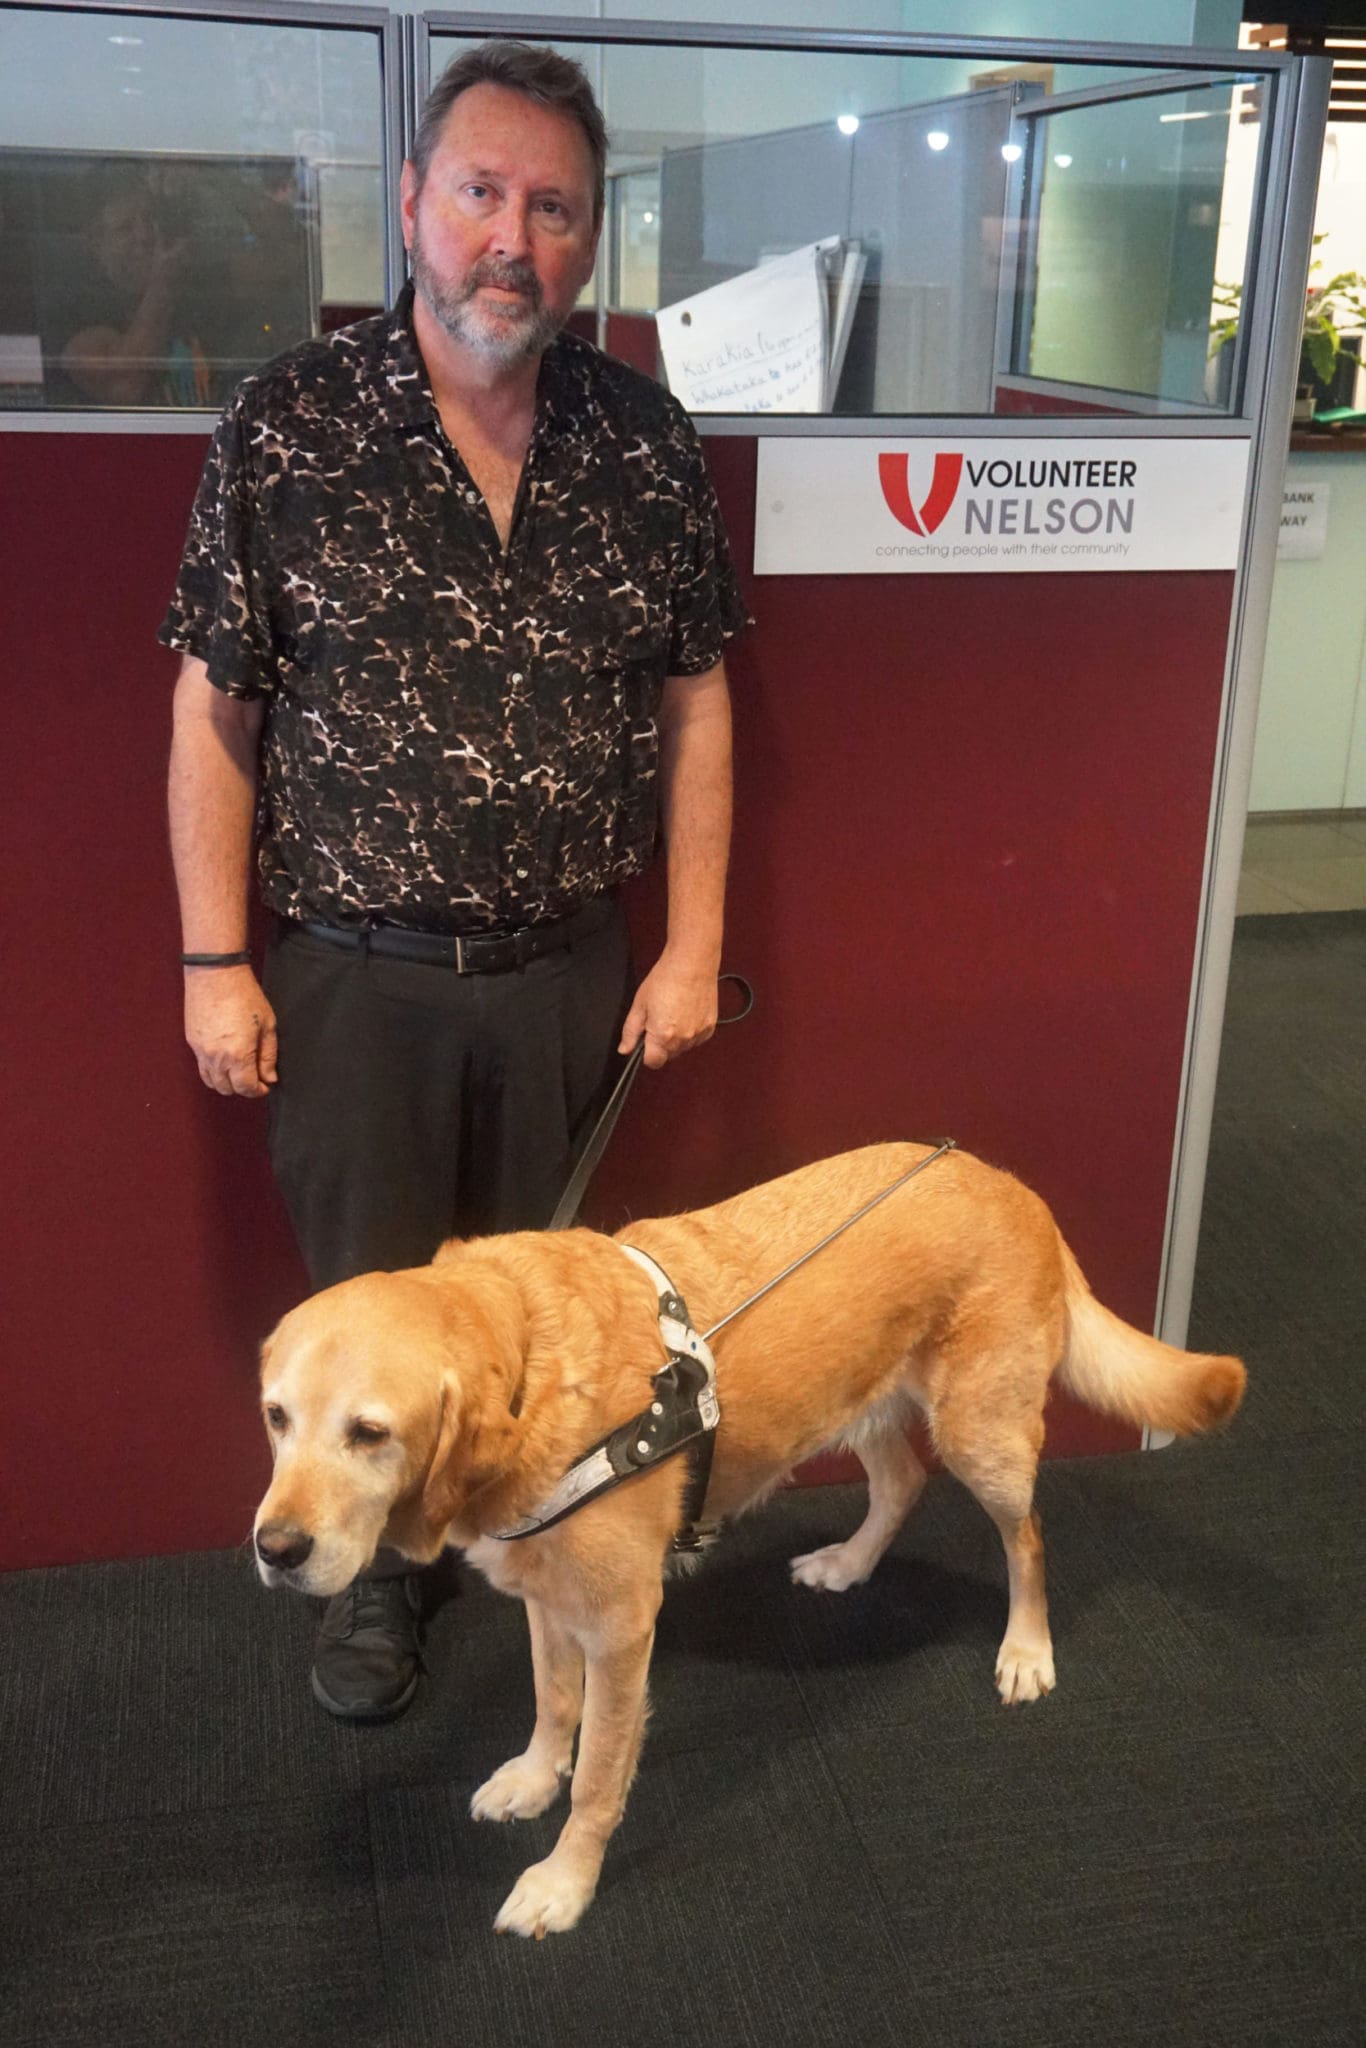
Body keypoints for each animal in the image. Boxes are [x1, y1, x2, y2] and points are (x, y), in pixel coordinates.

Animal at [253, 1143, 1244, 1938]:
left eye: (370, 1433)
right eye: (275, 1418)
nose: (276, 1548)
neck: (531, 1364)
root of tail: (1009, 1183)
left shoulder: (621, 1628)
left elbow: (599, 1776)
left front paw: (565, 1883)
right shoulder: (548, 1594)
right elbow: (552, 1704)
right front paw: (534, 1777)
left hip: (983, 1432)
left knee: (1027, 1540)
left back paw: (1026, 1649)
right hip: (857, 1401)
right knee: (900, 1483)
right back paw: (849, 1564)